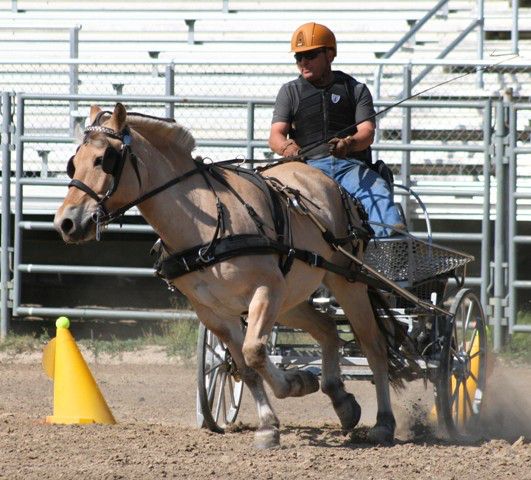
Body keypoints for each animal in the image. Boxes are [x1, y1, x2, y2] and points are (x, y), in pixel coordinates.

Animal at [54, 103, 412, 448]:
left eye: (103, 160)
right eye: (74, 163)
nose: (65, 222)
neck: (206, 223)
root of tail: (325, 179)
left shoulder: (265, 290)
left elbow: (254, 351)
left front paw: (290, 388)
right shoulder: (214, 312)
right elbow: (244, 366)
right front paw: (275, 416)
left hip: (343, 282)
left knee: (373, 345)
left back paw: (383, 424)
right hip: (291, 297)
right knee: (327, 329)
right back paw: (341, 400)